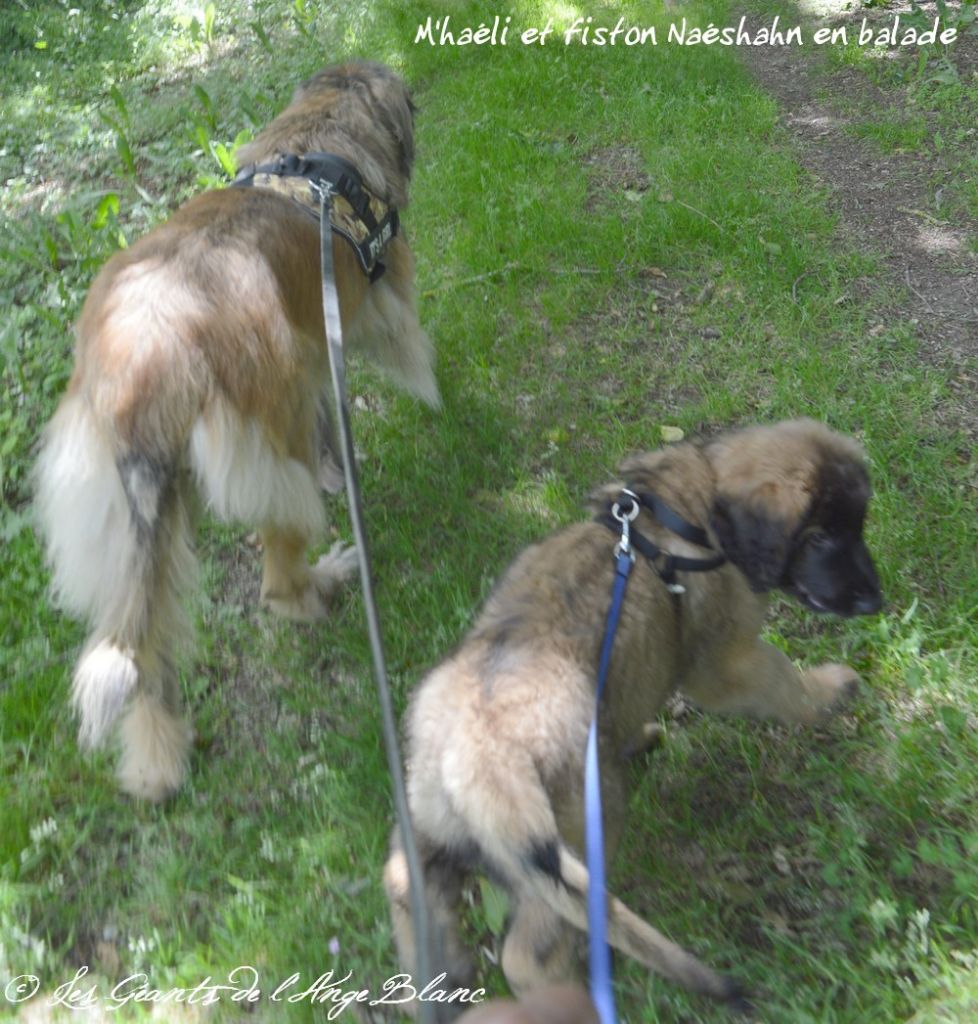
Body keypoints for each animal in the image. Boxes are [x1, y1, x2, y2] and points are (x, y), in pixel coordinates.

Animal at [35, 59, 436, 802]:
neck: (317, 135)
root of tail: (143, 362)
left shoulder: (314, 355)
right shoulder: (373, 305)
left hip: (132, 517)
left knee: (148, 647)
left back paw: (156, 761)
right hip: (269, 457)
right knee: (277, 584)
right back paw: (327, 580)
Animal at [387, 417, 884, 1015]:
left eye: (857, 528)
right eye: (821, 538)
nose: (875, 600)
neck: (695, 507)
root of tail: (473, 757)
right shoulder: (726, 664)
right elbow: (783, 681)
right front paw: (829, 692)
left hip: (431, 829)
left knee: (406, 889)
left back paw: (433, 983)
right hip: (580, 834)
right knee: (528, 955)